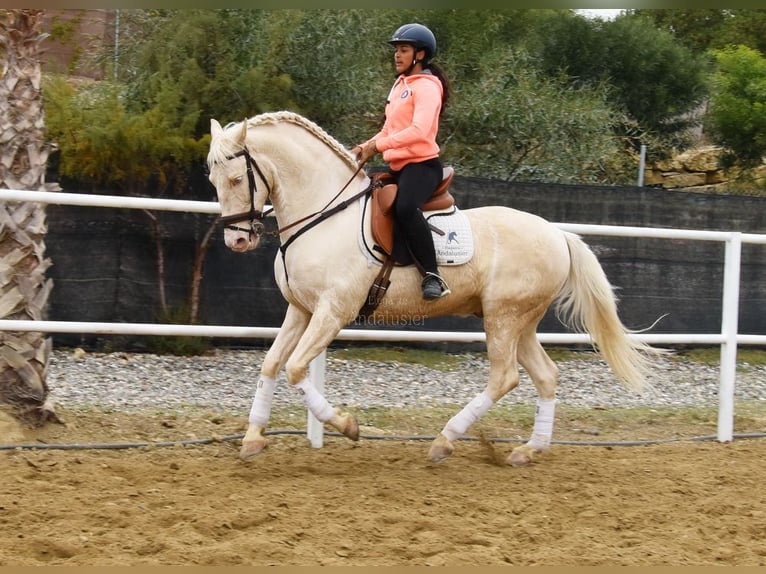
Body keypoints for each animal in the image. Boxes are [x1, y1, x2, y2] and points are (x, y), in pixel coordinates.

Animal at [207, 111, 664, 468]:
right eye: (212, 179)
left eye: (237, 178)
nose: (238, 241)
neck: (325, 214)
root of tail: (556, 233)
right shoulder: (301, 310)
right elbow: (271, 364)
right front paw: (252, 439)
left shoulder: (332, 312)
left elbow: (297, 368)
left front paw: (347, 425)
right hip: (521, 322)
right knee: (546, 376)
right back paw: (527, 450)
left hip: (503, 319)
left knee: (504, 378)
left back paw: (445, 440)